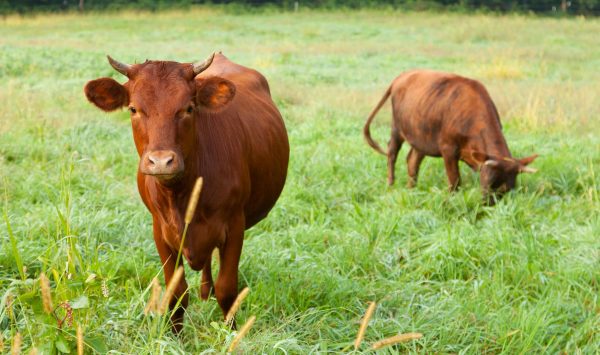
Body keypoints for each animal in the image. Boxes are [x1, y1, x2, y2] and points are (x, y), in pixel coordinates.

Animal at [85, 52, 290, 330]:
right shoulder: (160, 231)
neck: (180, 195)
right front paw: (174, 334)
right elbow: (176, 291)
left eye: (188, 108)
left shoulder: (234, 225)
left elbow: (228, 290)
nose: (161, 161)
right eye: (133, 109)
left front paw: (231, 333)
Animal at [364, 69, 536, 200]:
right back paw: (390, 184)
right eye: (488, 181)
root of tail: (402, 76)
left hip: (421, 137)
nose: (488, 204)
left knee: (412, 160)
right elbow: (455, 180)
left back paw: (412, 188)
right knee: (392, 153)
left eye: (508, 187)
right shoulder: (448, 149)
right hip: (397, 128)